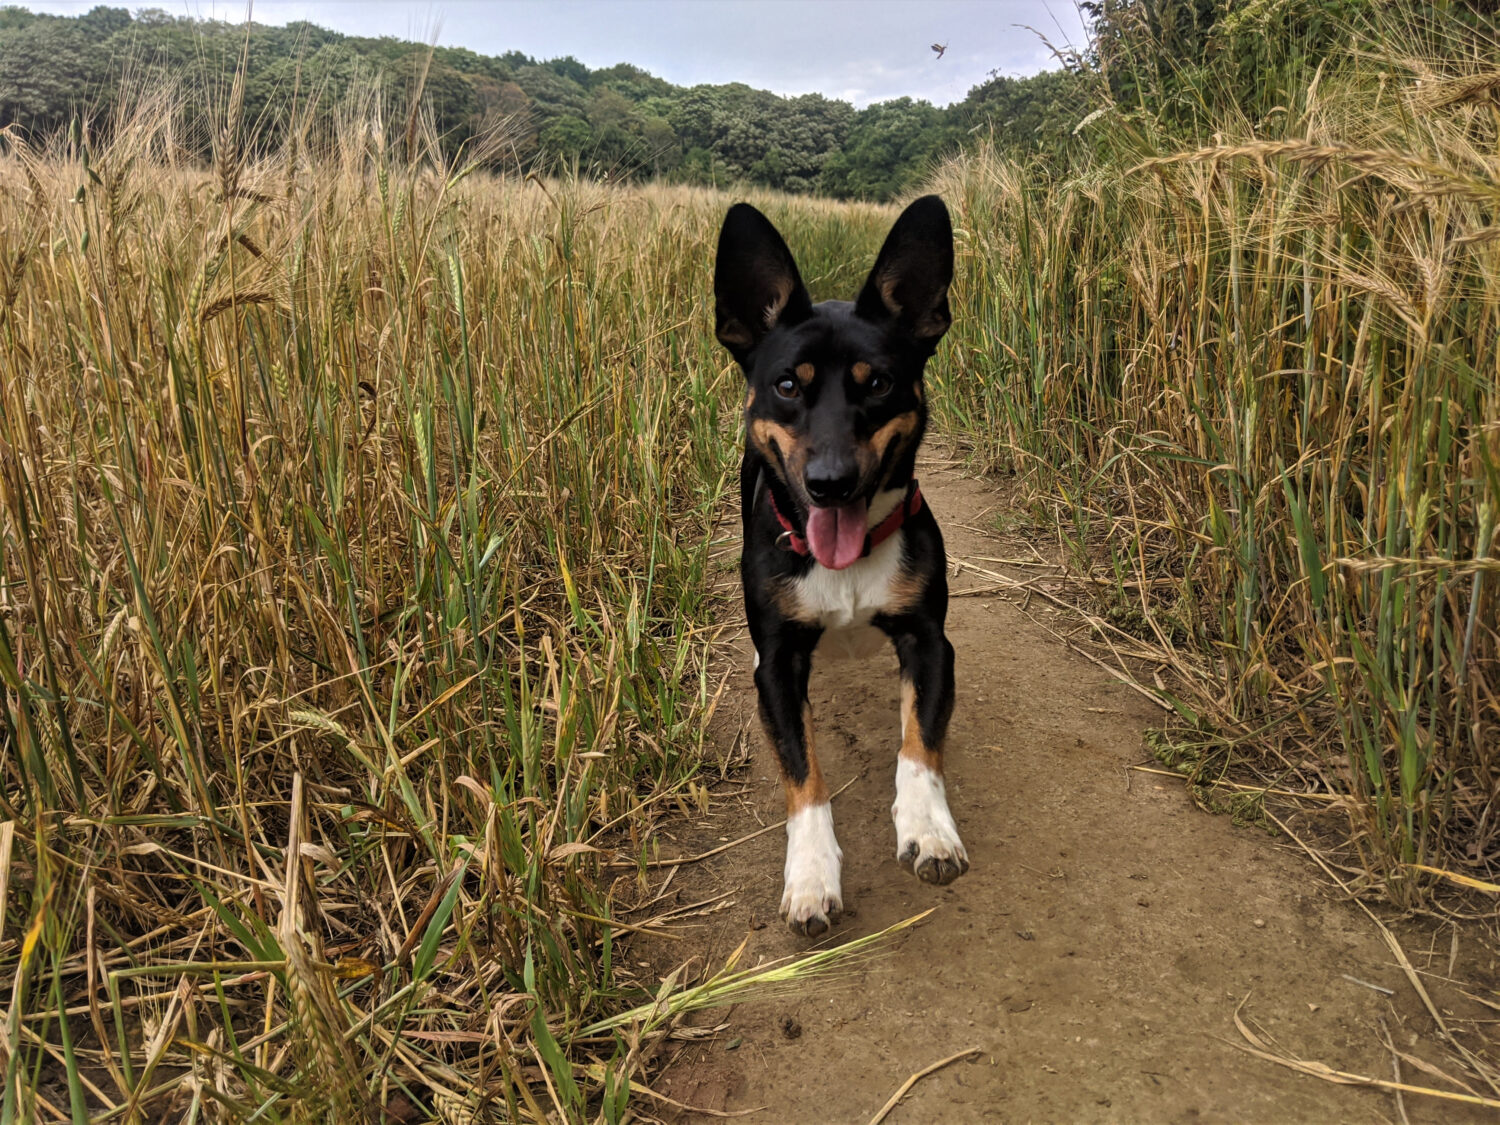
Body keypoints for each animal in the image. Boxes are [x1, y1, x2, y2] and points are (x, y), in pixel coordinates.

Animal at [717, 198, 972, 936]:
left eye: (879, 383)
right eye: (786, 386)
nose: (830, 483)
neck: (848, 559)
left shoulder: (929, 640)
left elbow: (919, 744)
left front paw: (928, 827)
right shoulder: (779, 664)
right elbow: (804, 776)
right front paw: (810, 875)